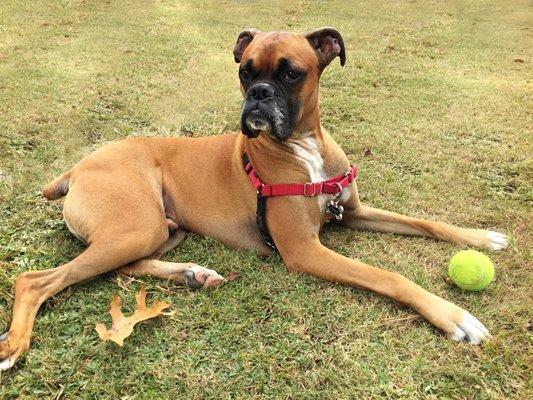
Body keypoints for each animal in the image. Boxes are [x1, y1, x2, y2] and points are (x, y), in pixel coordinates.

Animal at [0, 28, 508, 370]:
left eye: (291, 73)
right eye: (245, 72)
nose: (259, 94)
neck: (303, 148)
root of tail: (77, 167)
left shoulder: (354, 211)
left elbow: (426, 222)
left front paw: (481, 237)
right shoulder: (305, 250)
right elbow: (390, 276)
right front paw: (455, 316)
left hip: (160, 230)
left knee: (123, 266)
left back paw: (193, 274)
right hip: (136, 226)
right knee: (36, 280)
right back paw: (14, 345)